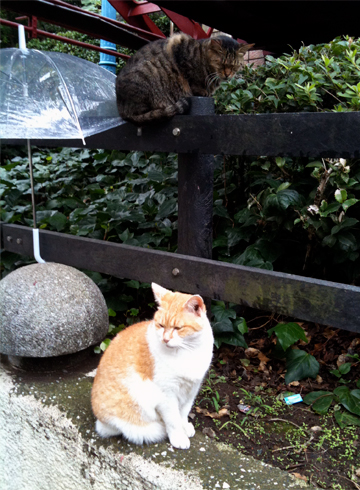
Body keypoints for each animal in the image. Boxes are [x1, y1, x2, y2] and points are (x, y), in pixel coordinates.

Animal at [91, 284, 214, 448]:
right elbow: (173, 420)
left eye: (178, 328)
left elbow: (183, 413)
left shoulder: (191, 390)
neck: (188, 351)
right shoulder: (167, 395)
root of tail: (99, 421)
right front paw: (178, 436)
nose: (165, 339)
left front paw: (184, 426)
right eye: (161, 325)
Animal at [116, 31, 253, 124]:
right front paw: (202, 91)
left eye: (235, 65)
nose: (228, 74)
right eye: (221, 64)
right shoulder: (179, 44)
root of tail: (121, 108)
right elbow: (193, 81)